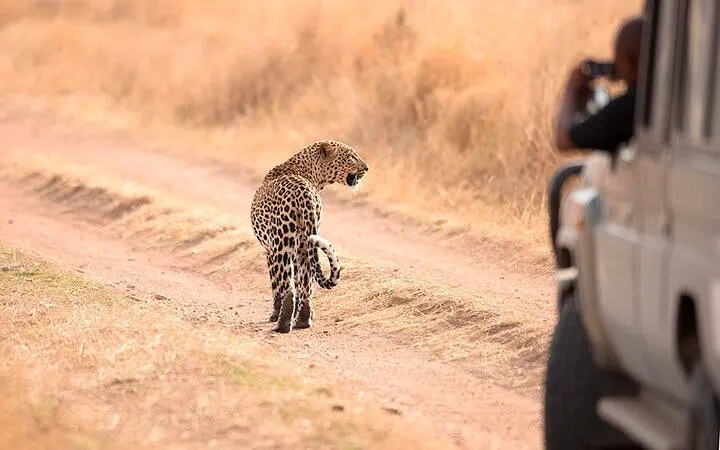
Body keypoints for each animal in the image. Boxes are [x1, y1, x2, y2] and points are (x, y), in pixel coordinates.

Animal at [250, 139, 369, 333]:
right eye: (351, 156)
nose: (367, 168)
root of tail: (304, 192)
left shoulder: (269, 250)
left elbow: (275, 284)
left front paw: (274, 314)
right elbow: (302, 283)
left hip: (282, 245)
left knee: (287, 286)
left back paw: (282, 324)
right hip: (305, 243)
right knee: (305, 281)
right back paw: (303, 320)